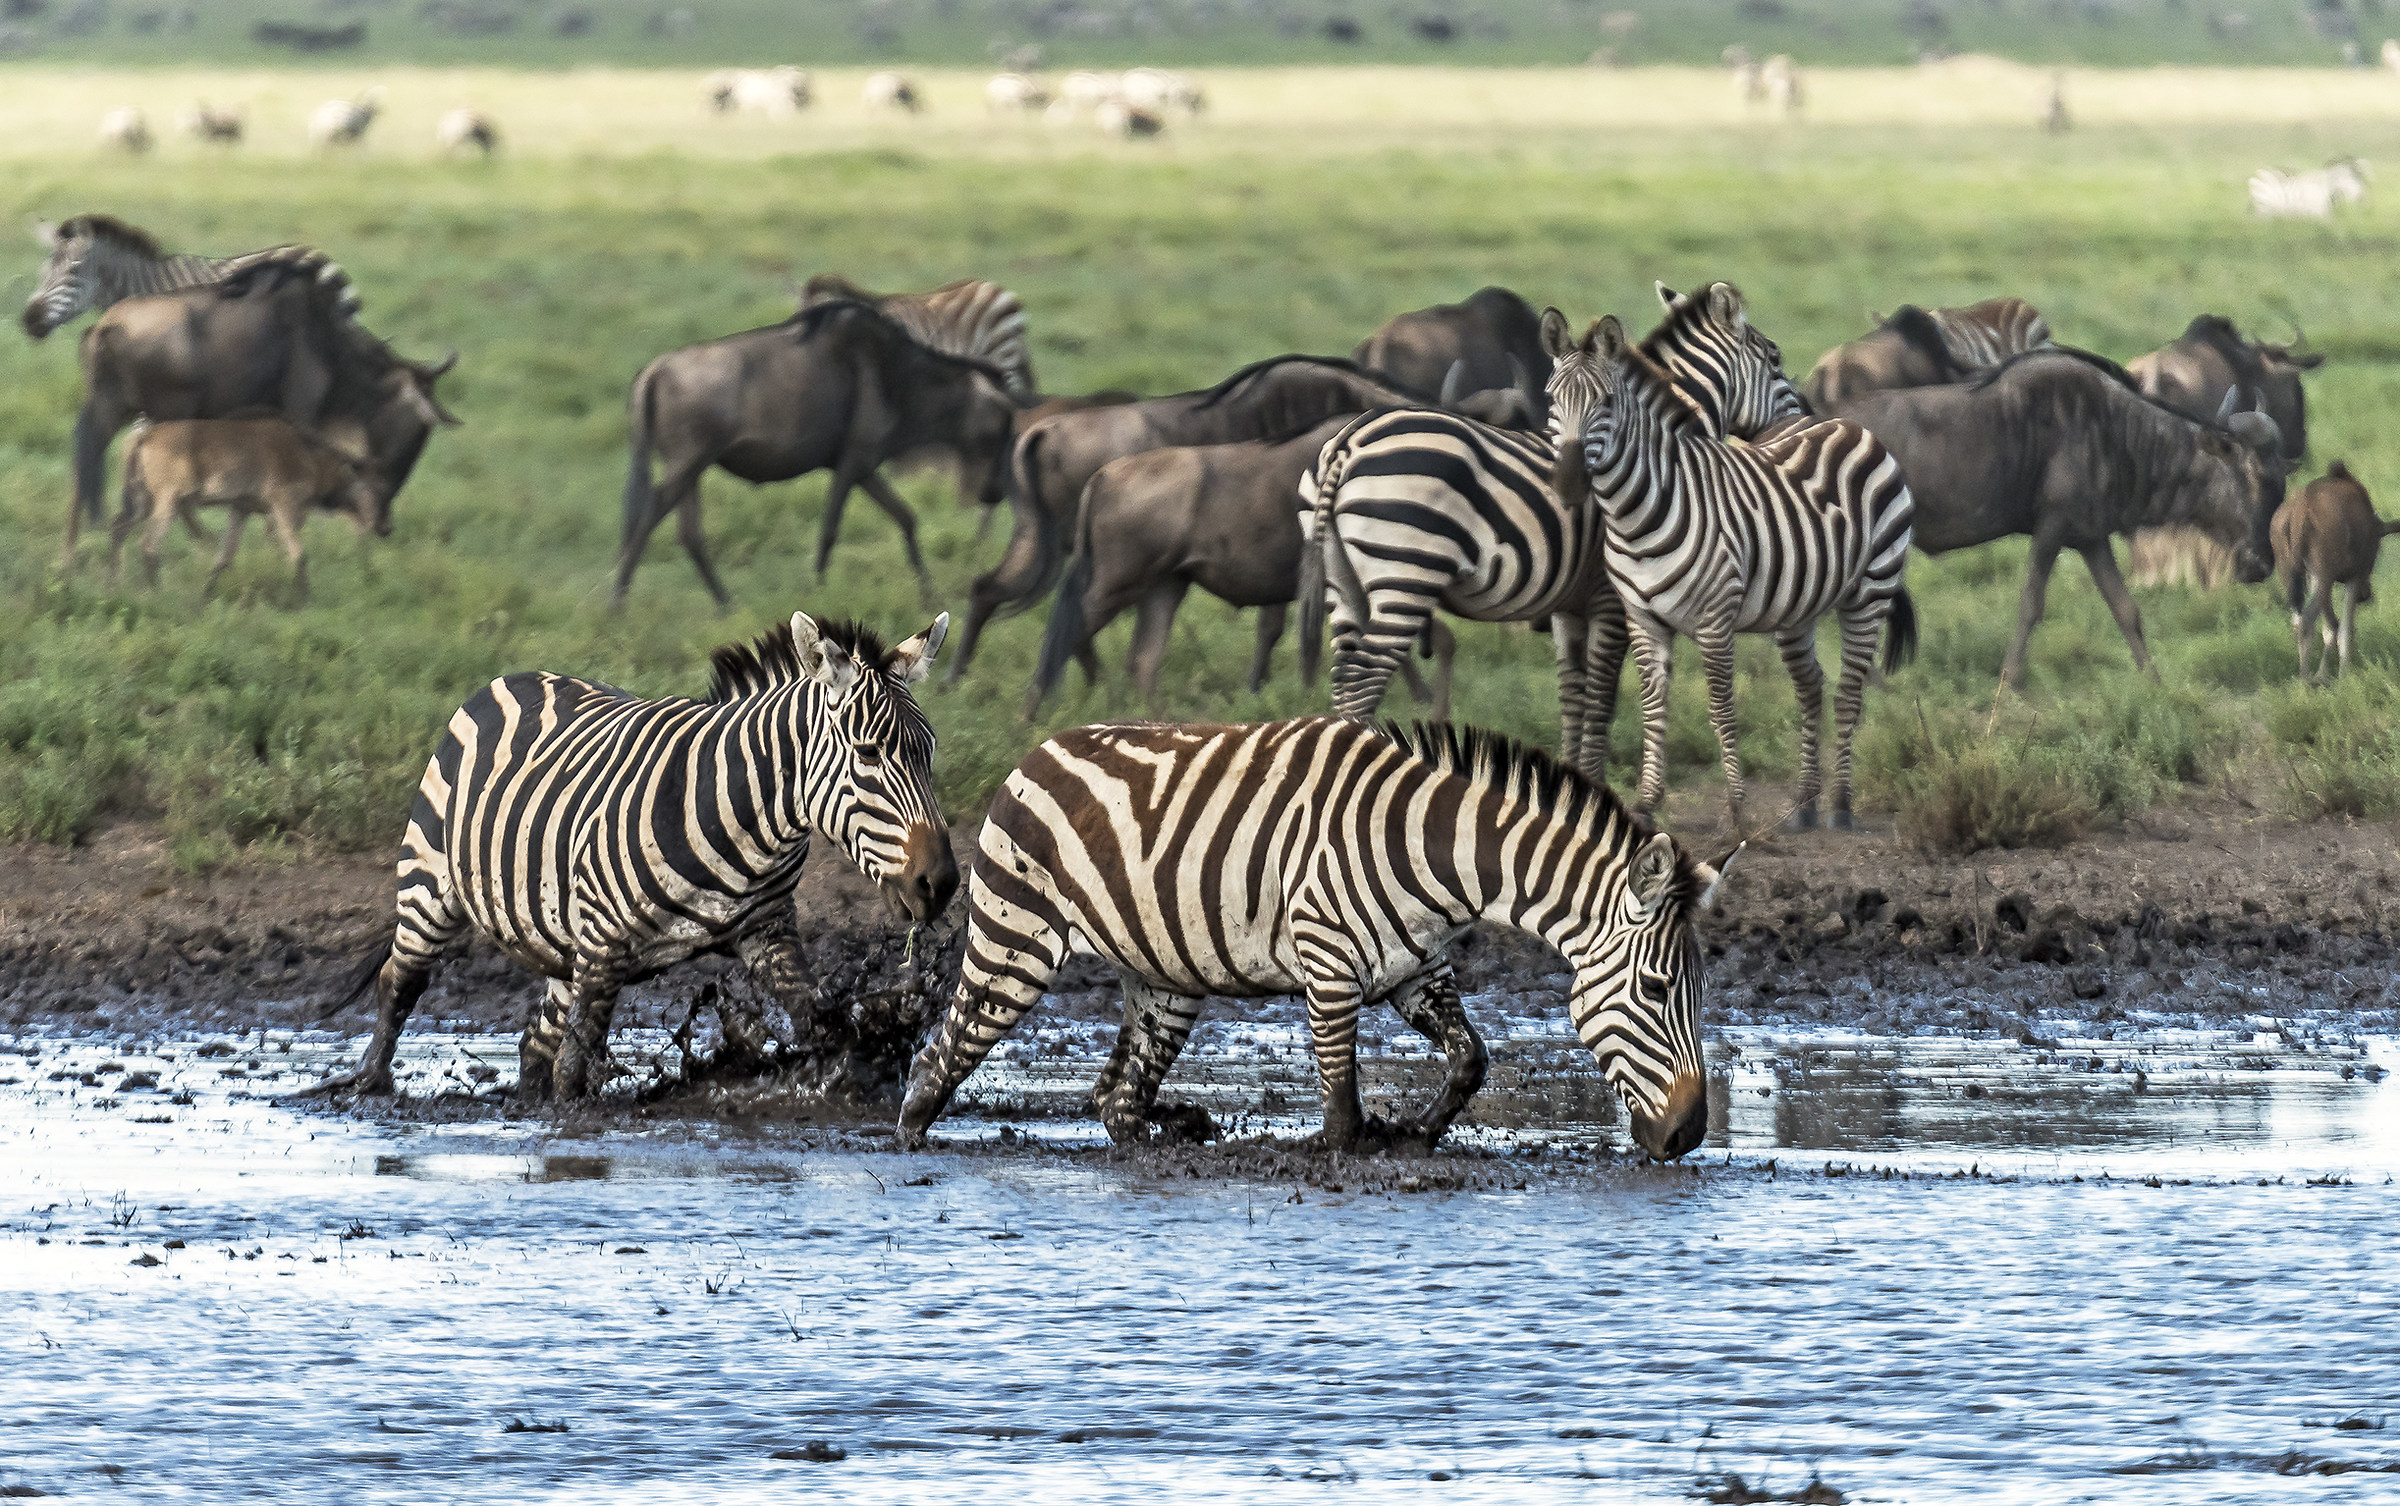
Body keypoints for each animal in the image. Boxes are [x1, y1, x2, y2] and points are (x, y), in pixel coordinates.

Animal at [289, 611, 959, 1102]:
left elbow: (821, 1022)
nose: (942, 883)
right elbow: (573, 1075)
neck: (750, 822)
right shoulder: (606, 946)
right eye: (868, 753)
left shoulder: (767, 931)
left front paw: (854, 1078)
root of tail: (516, 676)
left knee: (535, 1045)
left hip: (564, 948)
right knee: (400, 983)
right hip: (430, 883)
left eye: (929, 753)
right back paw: (369, 1085)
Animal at [897, 717, 1728, 1158]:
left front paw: (1416, 1132)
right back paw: (910, 1136)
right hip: (1016, 943)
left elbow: (1472, 1059)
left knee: (1118, 1102)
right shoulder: (1329, 968)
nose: (1689, 1136)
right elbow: (1340, 1109)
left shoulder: (1415, 969)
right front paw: (1355, 1146)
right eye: (1657, 989)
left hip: (1165, 982)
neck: (1436, 851)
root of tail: (1035, 750)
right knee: (941, 1059)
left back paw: (1174, 1132)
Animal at [1297, 280, 1806, 783]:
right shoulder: (1611, 600)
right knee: (1363, 686)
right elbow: (1601, 700)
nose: (1803, 419)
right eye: (1775, 359)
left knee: (1345, 687)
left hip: (1344, 585)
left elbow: (1573, 699)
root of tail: (1348, 443)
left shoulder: (1568, 607)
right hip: (1405, 575)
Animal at [1545, 311, 1916, 833]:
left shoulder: (1714, 619)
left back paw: (1841, 805)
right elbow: (1652, 706)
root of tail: (1842, 423)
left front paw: (1738, 811)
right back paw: (1804, 804)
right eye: (1551, 400)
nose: (1568, 484)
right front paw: (1647, 802)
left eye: (1607, 402)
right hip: (1798, 603)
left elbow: (1721, 708)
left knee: (1849, 694)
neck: (1634, 514)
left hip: (1870, 590)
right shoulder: (1642, 618)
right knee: (1811, 687)